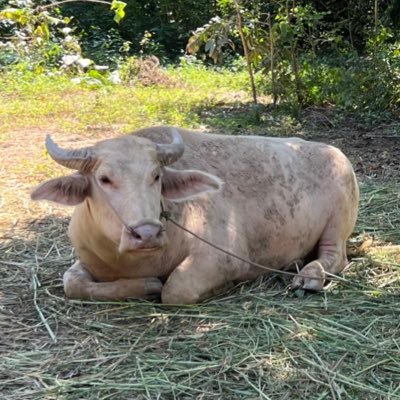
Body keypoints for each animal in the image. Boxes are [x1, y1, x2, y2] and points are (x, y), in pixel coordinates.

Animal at [29, 126, 358, 302]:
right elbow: (72, 283)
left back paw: (308, 277)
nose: (146, 233)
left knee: (336, 257)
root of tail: (336, 153)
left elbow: (174, 289)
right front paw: (146, 285)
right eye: (104, 179)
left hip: (338, 221)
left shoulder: (225, 257)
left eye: (156, 176)